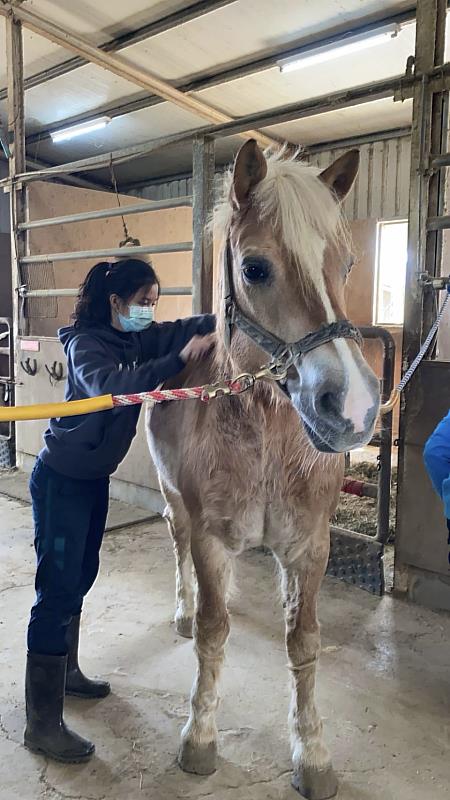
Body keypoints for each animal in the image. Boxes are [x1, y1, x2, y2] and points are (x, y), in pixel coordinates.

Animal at [148, 141, 380, 796]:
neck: (267, 445)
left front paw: (313, 752)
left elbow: (303, 641)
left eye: (346, 265)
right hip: (174, 502)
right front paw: (199, 739)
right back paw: (182, 608)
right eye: (254, 268)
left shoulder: (310, 547)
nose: (354, 408)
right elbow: (212, 632)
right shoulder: (211, 540)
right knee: (178, 551)